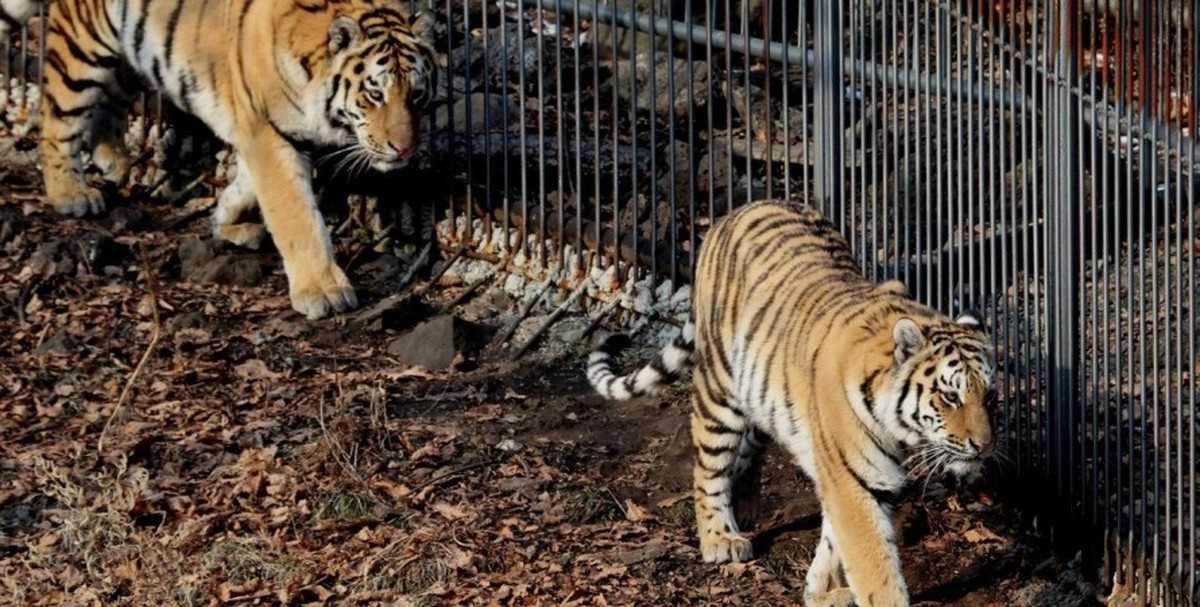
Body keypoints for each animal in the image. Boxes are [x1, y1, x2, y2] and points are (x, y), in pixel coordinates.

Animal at [1, 0, 441, 319]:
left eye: (417, 95)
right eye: (375, 95)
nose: (404, 149)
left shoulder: (268, 134)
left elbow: (248, 186)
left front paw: (227, 222)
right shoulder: (266, 131)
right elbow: (295, 214)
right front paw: (323, 290)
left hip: (133, 49)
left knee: (111, 98)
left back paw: (113, 159)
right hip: (83, 46)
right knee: (58, 116)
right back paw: (71, 193)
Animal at [588, 200, 993, 607]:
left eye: (987, 394)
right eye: (950, 396)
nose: (984, 446)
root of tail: (737, 211)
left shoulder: (854, 479)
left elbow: (834, 540)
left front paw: (820, 591)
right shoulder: (854, 481)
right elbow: (873, 564)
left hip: (764, 394)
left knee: (749, 447)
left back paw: (746, 507)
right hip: (719, 388)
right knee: (709, 467)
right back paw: (720, 539)